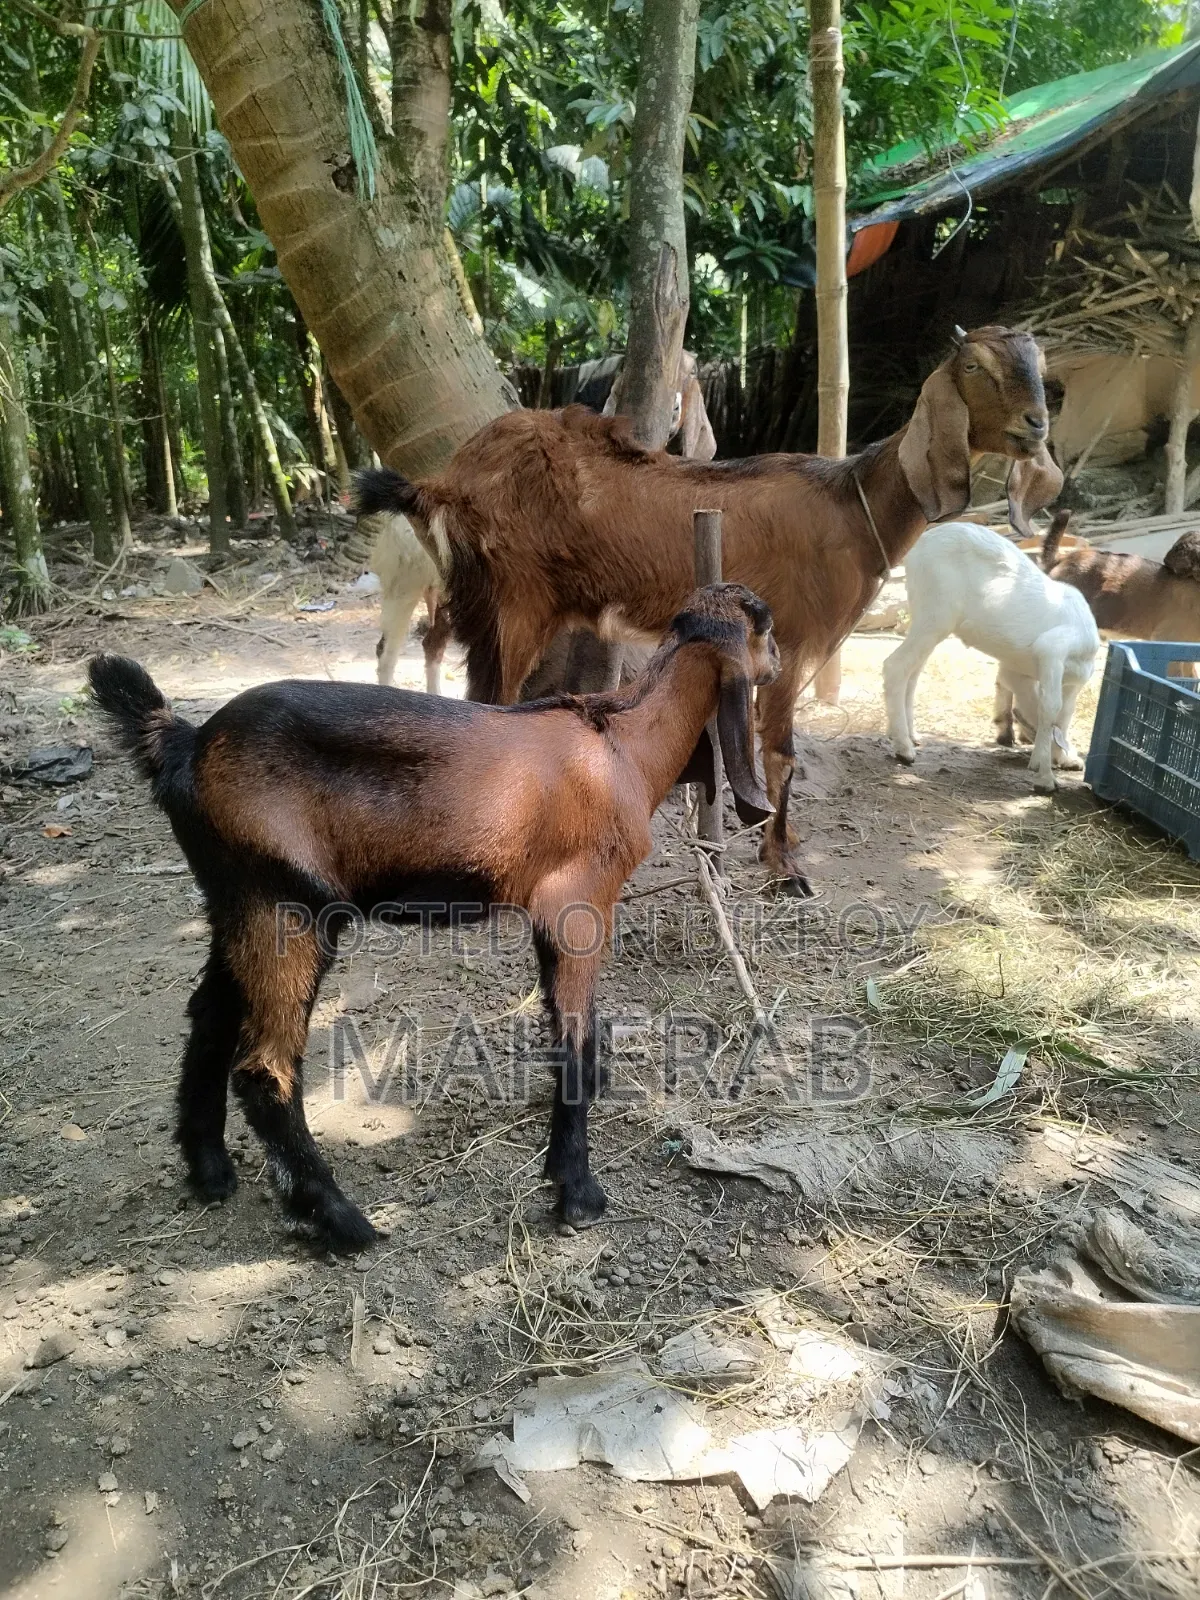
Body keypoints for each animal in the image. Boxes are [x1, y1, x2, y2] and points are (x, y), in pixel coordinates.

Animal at [87, 585, 778, 1250]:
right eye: (765, 625)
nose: (777, 666)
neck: (622, 746)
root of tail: (186, 744)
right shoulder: (578, 902)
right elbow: (575, 1039)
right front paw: (578, 1196)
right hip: (286, 906)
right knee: (264, 1069)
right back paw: (341, 1222)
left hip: (233, 899)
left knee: (209, 1017)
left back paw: (210, 1171)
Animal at [354, 325, 1061, 893]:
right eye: (975, 366)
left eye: (1039, 363)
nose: (1037, 426)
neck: (851, 507)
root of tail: (443, 482)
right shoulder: (791, 641)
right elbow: (781, 754)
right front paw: (784, 868)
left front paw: (782, 845)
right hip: (511, 606)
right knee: (487, 705)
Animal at [883, 521, 1099, 791]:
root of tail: (918, 548)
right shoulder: (1052, 650)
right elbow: (1050, 709)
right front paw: (1045, 778)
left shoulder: (1020, 671)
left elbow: (1061, 716)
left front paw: (1062, 758)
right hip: (935, 617)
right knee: (895, 665)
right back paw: (904, 749)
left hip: (926, 620)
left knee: (912, 673)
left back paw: (910, 735)